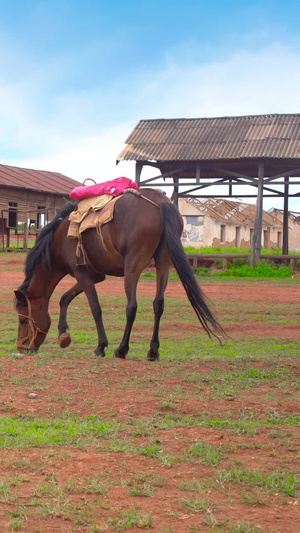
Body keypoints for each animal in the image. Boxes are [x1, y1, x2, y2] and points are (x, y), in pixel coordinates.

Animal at [14, 186, 225, 358]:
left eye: (23, 320)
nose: (23, 349)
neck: (60, 239)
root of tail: (161, 202)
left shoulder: (82, 273)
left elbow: (95, 309)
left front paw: (101, 346)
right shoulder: (95, 275)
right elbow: (65, 298)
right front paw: (63, 334)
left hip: (132, 267)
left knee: (132, 307)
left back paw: (122, 349)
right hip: (163, 264)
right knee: (158, 304)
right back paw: (153, 350)